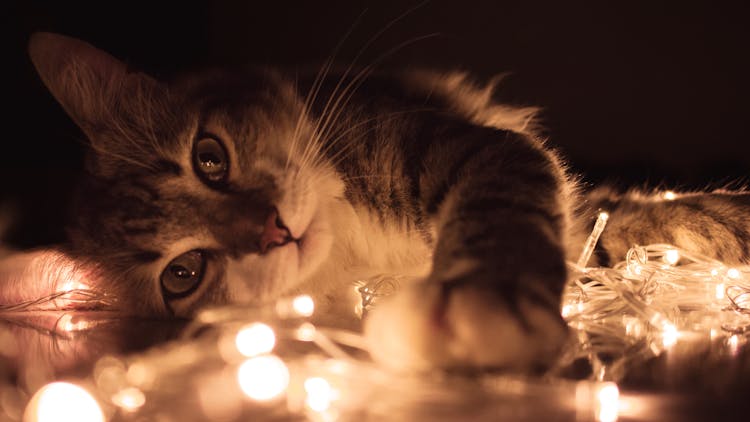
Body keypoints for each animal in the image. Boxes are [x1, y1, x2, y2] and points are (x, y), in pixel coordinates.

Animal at [23, 33, 750, 372]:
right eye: (182, 274)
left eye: (209, 158)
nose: (274, 231)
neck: (348, 246)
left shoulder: (483, 152)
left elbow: (629, 215)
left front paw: (487, 294)